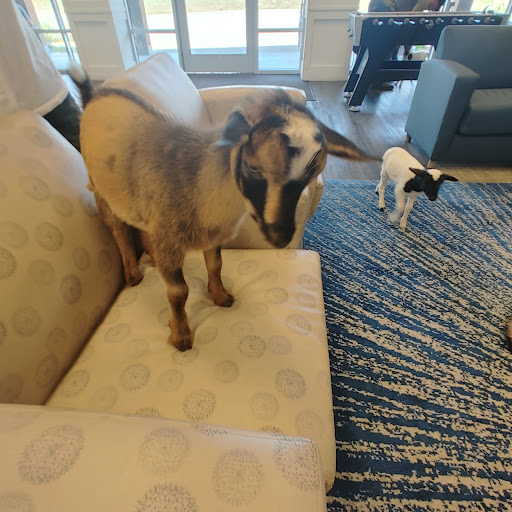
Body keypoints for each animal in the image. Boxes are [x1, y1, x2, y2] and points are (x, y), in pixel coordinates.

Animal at [71, 70, 377, 351]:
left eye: (310, 175)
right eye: (253, 167)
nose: (281, 236)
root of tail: (94, 96)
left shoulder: (210, 235)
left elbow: (216, 266)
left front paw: (221, 297)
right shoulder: (171, 237)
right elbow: (178, 292)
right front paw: (181, 336)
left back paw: (154, 260)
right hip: (99, 189)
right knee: (118, 229)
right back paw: (133, 274)